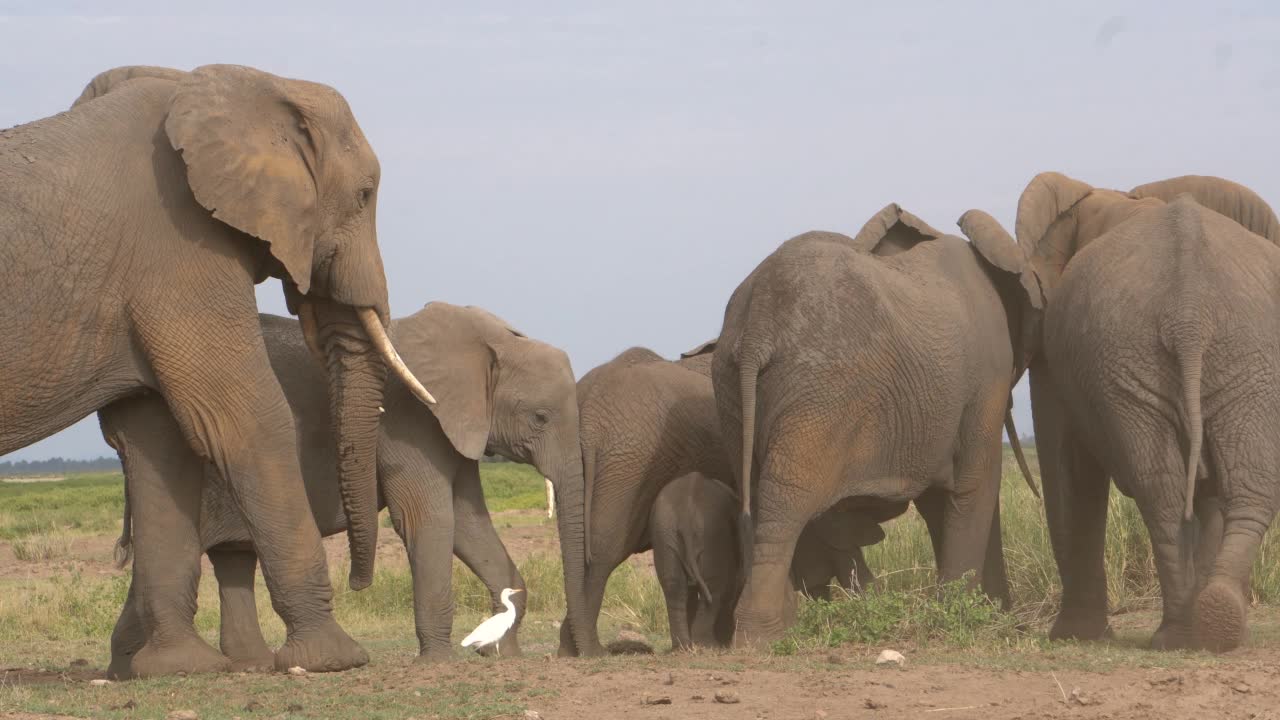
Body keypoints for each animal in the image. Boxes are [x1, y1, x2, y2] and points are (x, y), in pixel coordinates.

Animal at [0, 64, 437, 676]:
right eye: (364, 195)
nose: (360, 583)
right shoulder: (180, 246)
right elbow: (242, 417)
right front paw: (334, 659)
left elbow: (159, 442)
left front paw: (179, 668)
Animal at [107, 298, 586, 666]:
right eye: (540, 418)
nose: (573, 651)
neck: (486, 341)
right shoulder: (409, 423)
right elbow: (429, 521)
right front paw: (437, 662)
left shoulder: (458, 427)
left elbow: (470, 525)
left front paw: (506, 653)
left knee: (233, 556)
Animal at [962, 170, 1280, 648]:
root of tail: (1189, 313)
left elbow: (1067, 464)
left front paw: (1075, 637)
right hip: (1189, 353)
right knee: (1210, 486)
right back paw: (1204, 628)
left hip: (1212, 351)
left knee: (1191, 487)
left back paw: (1193, 629)